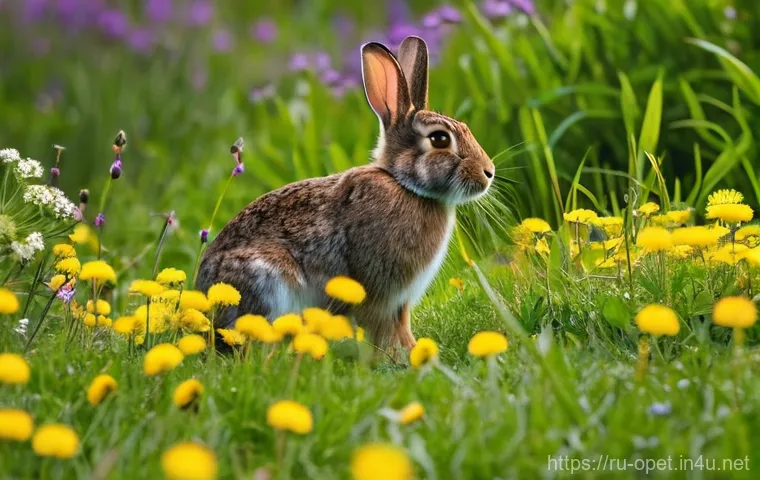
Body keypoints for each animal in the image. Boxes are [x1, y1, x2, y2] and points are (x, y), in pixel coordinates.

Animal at [196, 36, 495, 350]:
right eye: (439, 139)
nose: (489, 172)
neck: (405, 185)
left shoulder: (399, 302)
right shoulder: (378, 292)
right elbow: (385, 329)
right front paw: (402, 355)